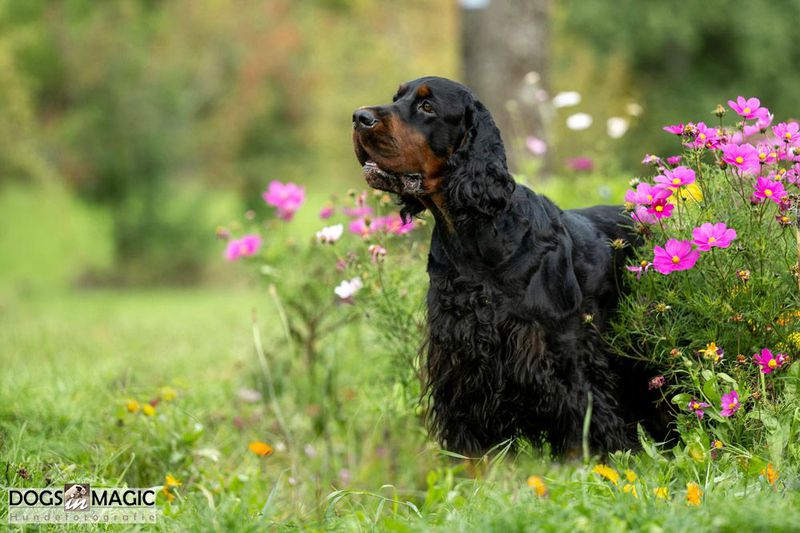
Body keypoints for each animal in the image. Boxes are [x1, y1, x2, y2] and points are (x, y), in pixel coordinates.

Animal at [353, 76, 667, 456]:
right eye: (396, 97)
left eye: (427, 107)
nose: (359, 117)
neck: (478, 236)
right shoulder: (462, 366)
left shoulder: (566, 358)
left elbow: (580, 427)